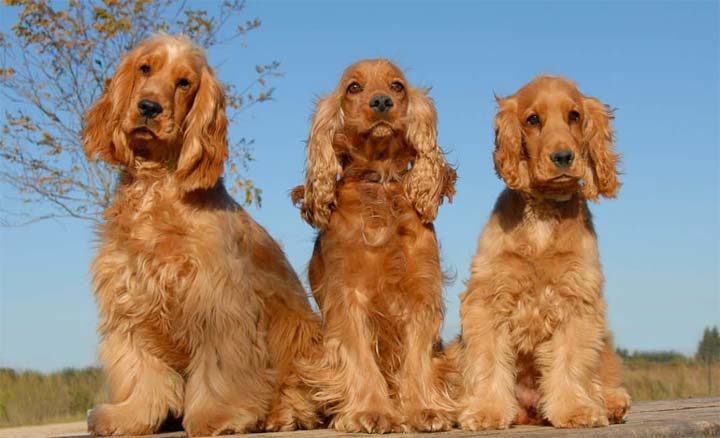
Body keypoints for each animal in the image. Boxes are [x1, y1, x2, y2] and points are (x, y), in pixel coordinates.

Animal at [81, 36, 324, 436]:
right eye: (144, 68)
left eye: (184, 83)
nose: (149, 107)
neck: (156, 188)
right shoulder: (129, 298)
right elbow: (138, 367)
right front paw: (129, 416)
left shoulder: (217, 301)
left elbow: (220, 370)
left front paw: (217, 417)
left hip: (302, 334)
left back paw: (278, 414)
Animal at [292, 60, 456, 432]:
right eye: (353, 87)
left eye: (397, 86)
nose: (381, 102)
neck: (379, 183)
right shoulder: (347, 295)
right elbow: (361, 356)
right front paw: (371, 411)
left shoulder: (421, 291)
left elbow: (416, 357)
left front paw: (424, 409)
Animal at [456, 76, 632, 432]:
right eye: (532, 119)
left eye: (574, 116)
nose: (563, 157)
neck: (543, 213)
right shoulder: (488, 297)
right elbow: (488, 359)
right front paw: (486, 411)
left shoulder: (576, 299)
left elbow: (570, 361)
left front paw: (576, 410)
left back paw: (611, 403)